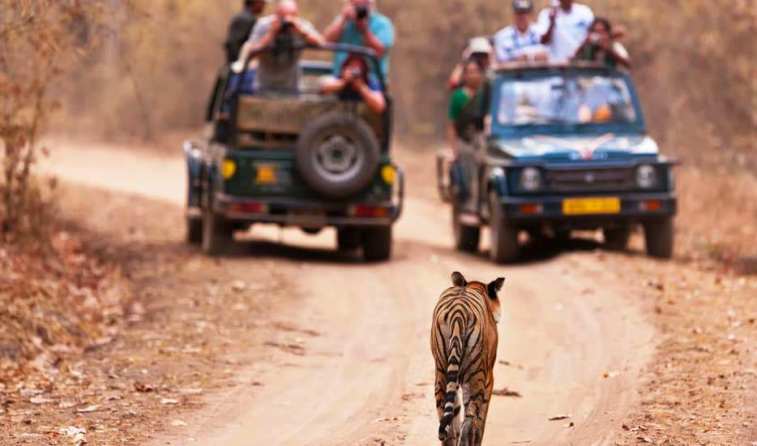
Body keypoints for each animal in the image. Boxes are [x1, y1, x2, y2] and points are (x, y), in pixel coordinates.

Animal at [428, 270, 504, 446]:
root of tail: (458, 311)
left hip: (441, 372)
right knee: (469, 421)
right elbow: (480, 420)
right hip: (476, 376)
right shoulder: (489, 378)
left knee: (446, 421)